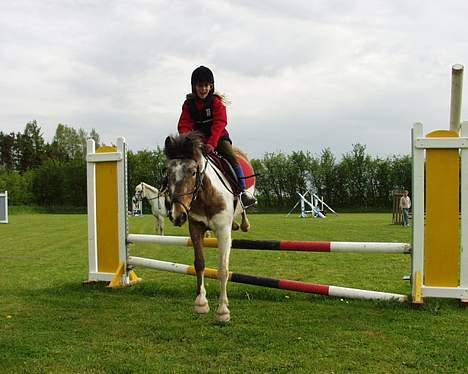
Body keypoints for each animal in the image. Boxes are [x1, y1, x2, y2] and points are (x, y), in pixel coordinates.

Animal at [163, 131, 254, 322]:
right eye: (167, 173)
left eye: (192, 172)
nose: (176, 215)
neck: (204, 194)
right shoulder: (195, 227)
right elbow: (199, 264)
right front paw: (201, 303)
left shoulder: (223, 231)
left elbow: (223, 270)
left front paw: (222, 311)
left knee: (243, 208)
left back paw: (244, 223)